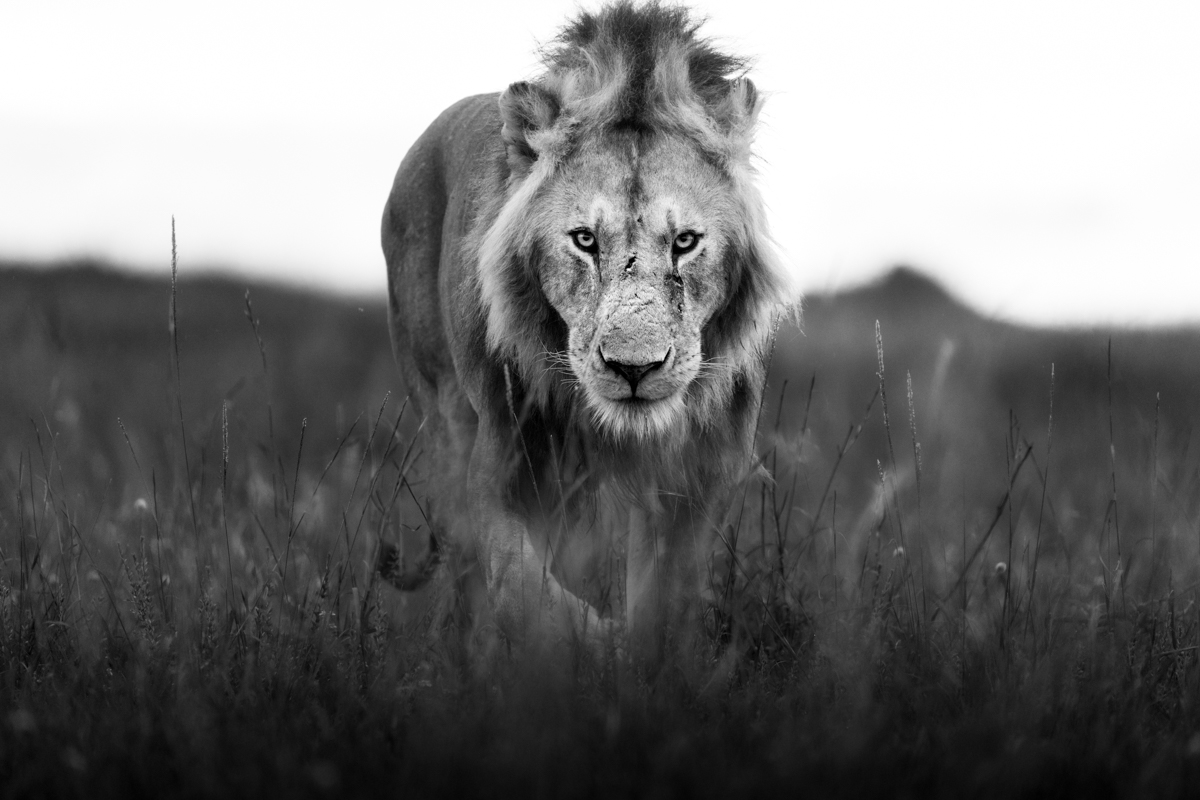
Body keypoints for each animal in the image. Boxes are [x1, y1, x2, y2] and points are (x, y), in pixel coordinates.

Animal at [378, 1, 793, 657]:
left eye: (685, 241)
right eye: (584, 240)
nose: (633, 368)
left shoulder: (698, 481)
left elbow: (664, 604)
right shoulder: (501, 465)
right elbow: (526, 593)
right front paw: (601, 645)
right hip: (443, 414)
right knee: (467, 571)